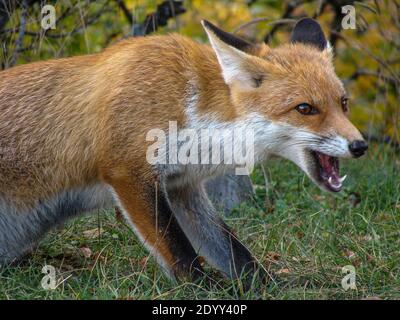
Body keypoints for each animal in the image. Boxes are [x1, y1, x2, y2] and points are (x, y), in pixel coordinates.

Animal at [0, 17, 366, 282]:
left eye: (343, 103)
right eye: (305, 109)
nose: (360, 145)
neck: (189, 103)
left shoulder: (183, 186)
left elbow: (233, 251)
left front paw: (268, 286)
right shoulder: (127, 171)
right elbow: (179, 252)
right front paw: (203, 289)